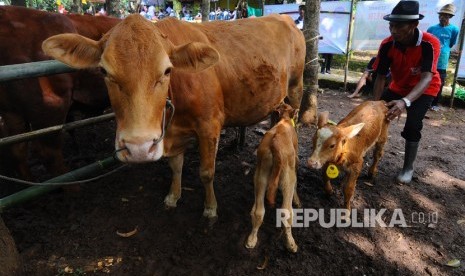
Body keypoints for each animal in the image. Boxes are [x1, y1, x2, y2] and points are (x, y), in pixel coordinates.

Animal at [41, 14, 306, 220]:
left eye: (167, 70)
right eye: (104, 71)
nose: (138, 148)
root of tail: (284, 18)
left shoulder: (209, 126)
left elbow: (206, 172)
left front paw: (210, 208)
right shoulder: (173, 131)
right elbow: (175, 166)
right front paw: (173, 196)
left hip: (296, 87)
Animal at [245, 103, 300, 252]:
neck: (284, 120)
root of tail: (275, 143)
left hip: (261, 174)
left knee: (258, 211)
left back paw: (251, 240)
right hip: (287, 177)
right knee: (286, 212)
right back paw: (291, 244)